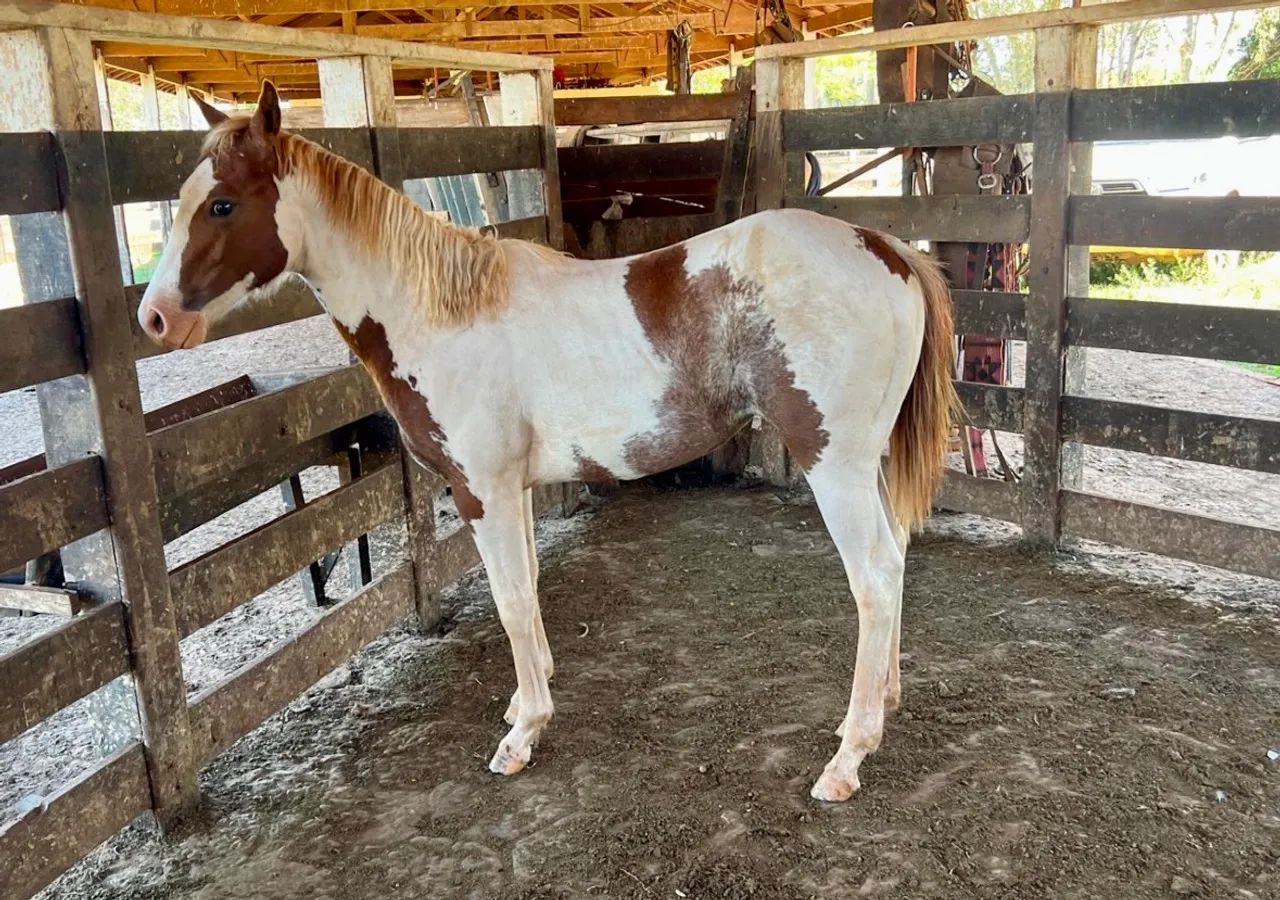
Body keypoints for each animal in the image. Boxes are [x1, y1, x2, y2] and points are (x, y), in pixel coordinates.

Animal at [138, 82, 957, 802]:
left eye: (222, 203)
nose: (154, 319)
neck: (442, 312)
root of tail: (885, 247)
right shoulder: (515, 491)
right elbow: (528, 590)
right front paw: (526, 699)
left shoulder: (483, 492)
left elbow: (508, 602)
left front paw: (523, 735)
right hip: (865, 465)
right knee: (896, 560)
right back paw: (881, 708)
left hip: (834, 466)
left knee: (875, 577)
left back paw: (848, 756)